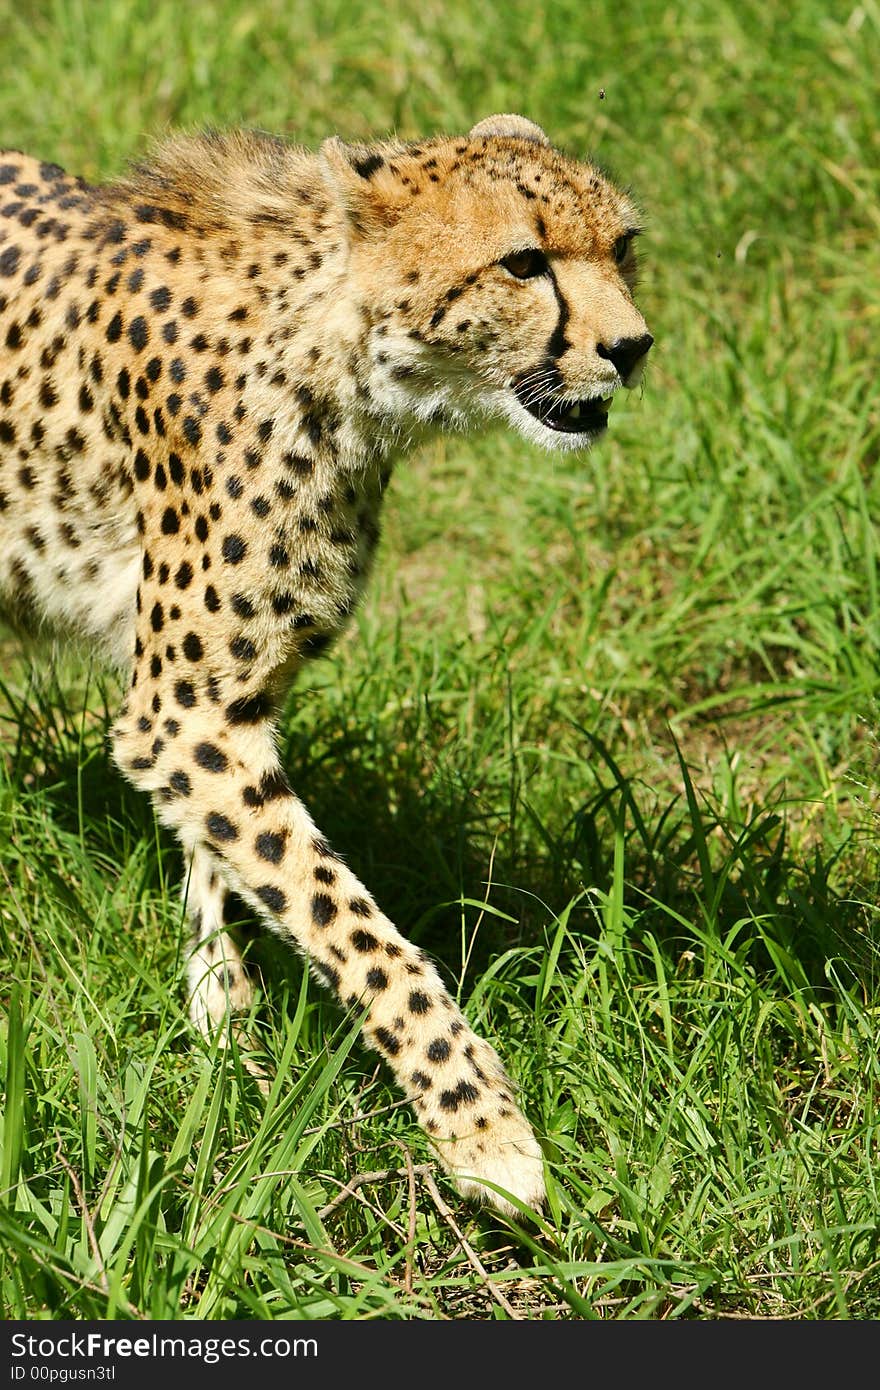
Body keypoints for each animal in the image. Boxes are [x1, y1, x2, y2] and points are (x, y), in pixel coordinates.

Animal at [1, 111, 653, 1217]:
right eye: (524, 262)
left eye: (622, 247)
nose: (633, 347)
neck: (345, 360)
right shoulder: (181, 715)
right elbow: (352, 924)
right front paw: (483, 1130)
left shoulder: (216, 703)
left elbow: (225, 858)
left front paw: (219, 1017)